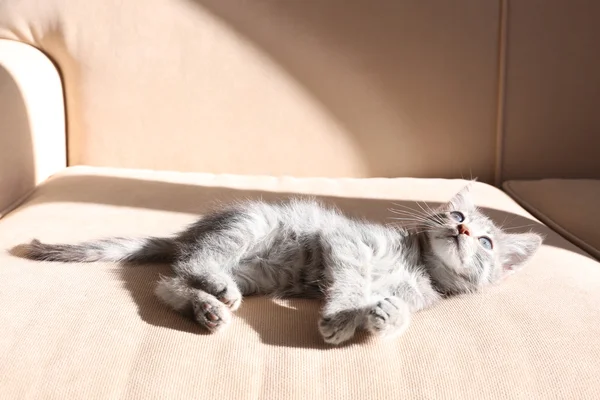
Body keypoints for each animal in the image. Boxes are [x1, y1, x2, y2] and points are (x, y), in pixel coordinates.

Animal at [18, 186, 544, 346]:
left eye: (488, 242)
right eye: (456, 216)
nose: (463, 231)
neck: (419, 264)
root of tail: (190, 231)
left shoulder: (416, 296)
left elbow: (396, 312)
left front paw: (382, 317)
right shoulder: (348, 245)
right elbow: (350, 284)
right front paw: (341, 318)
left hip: (258, 273)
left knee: (168, 284)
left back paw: (206, 308)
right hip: (246, 228)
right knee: (195, 263)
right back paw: (214, 291)